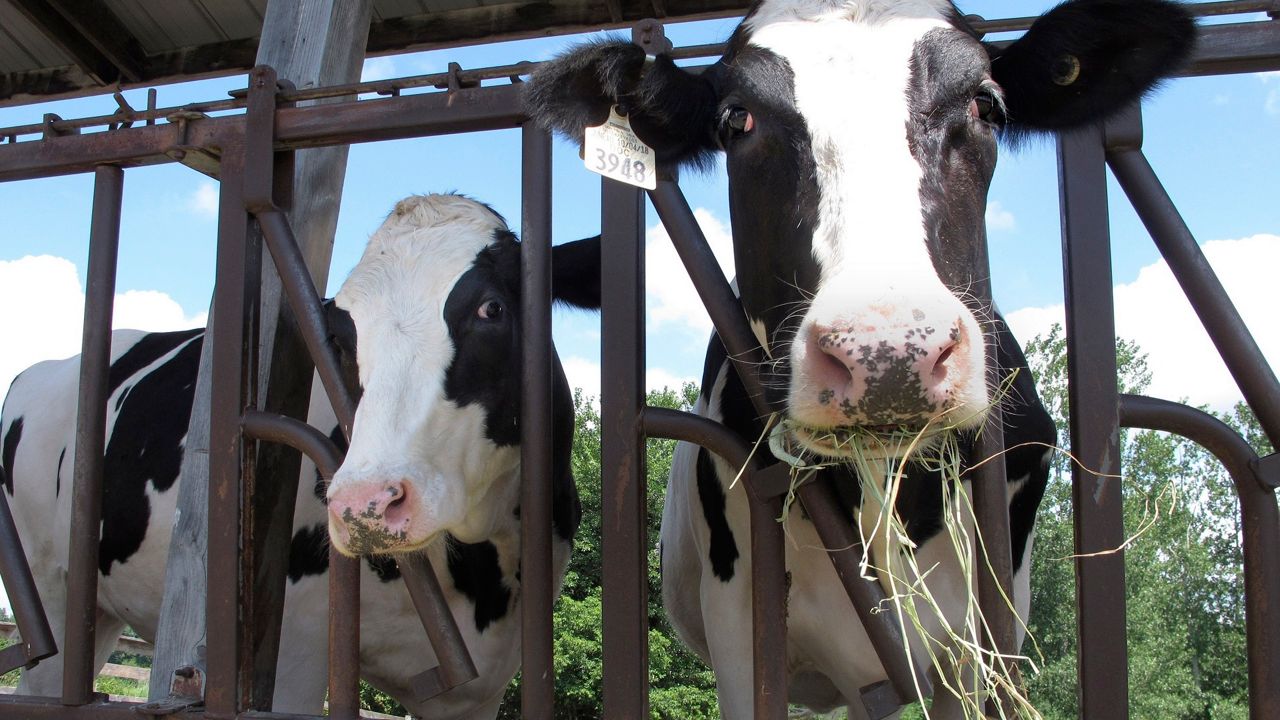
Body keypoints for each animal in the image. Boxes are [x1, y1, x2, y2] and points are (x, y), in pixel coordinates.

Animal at [0, 194, 600, 719]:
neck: (481, 571)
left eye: (491, 308)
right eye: (338, 337)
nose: (364, 504)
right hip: (51, 593)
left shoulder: (478, 688)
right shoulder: (293, 650)